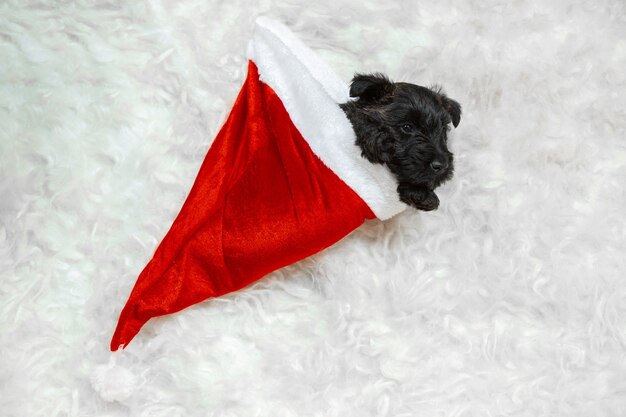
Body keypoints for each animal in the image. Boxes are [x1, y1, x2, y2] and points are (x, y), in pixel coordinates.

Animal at [338, 72, 460, 211]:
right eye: (406, 127)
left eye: (443, 129)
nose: (441, 166)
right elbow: (360, 119)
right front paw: (377, 141)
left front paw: (421, 193)